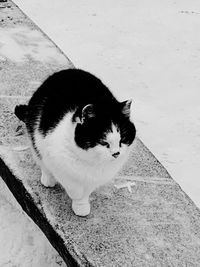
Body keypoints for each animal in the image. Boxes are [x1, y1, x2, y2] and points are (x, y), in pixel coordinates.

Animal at [14, 68, 136, 217]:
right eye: (103, 141)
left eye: (123, 139)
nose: (116, 153)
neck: (91, 163)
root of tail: (67, 70)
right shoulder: (59, 165)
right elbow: (74, 189)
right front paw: (77, 200)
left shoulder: (94, 179)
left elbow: (86, 192)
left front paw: (82, 205)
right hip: (36, 135)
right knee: (42, 160)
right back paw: (48, 179)